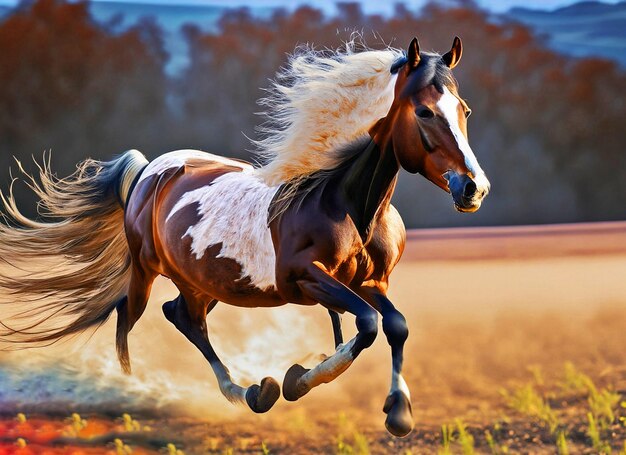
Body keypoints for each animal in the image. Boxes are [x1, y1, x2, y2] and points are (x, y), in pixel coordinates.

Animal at [0, 36, 488, 438]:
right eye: (423, 111)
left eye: (464, 110)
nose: (473, 188)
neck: (344, 200)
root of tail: (149, 169)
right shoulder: (307, 278)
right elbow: (366, 325)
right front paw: (298, 380)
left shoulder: (369, 283)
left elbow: (394, 325)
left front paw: (398, 413)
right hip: (146, 269)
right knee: (131, 320)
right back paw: (141, 390)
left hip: (205, 282)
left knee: (182, 316)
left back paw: (250, 392)